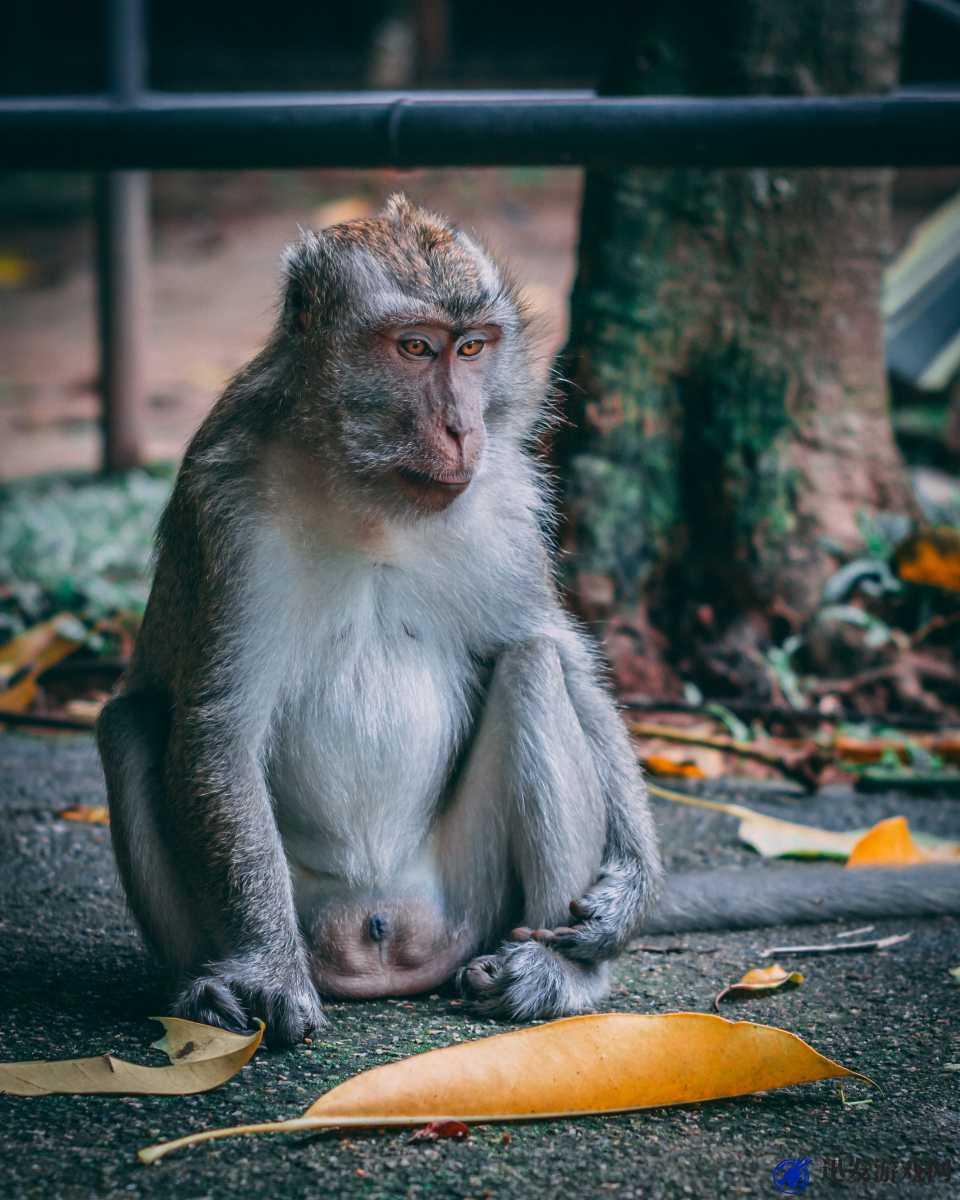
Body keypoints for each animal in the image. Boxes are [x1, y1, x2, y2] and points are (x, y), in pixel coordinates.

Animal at [99, 192, 960, 1046]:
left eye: (474, 348)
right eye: (415, 348)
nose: (461, 428)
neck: (369, 496)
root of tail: (384, 946)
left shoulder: (509, 500)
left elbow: (553, 650)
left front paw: (634, 886)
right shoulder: (225, 503)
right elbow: (220, 724)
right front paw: (269, 969)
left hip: (472, 898)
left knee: (533, 674)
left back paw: (559, 975)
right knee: (131, 723)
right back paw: (206, 986)